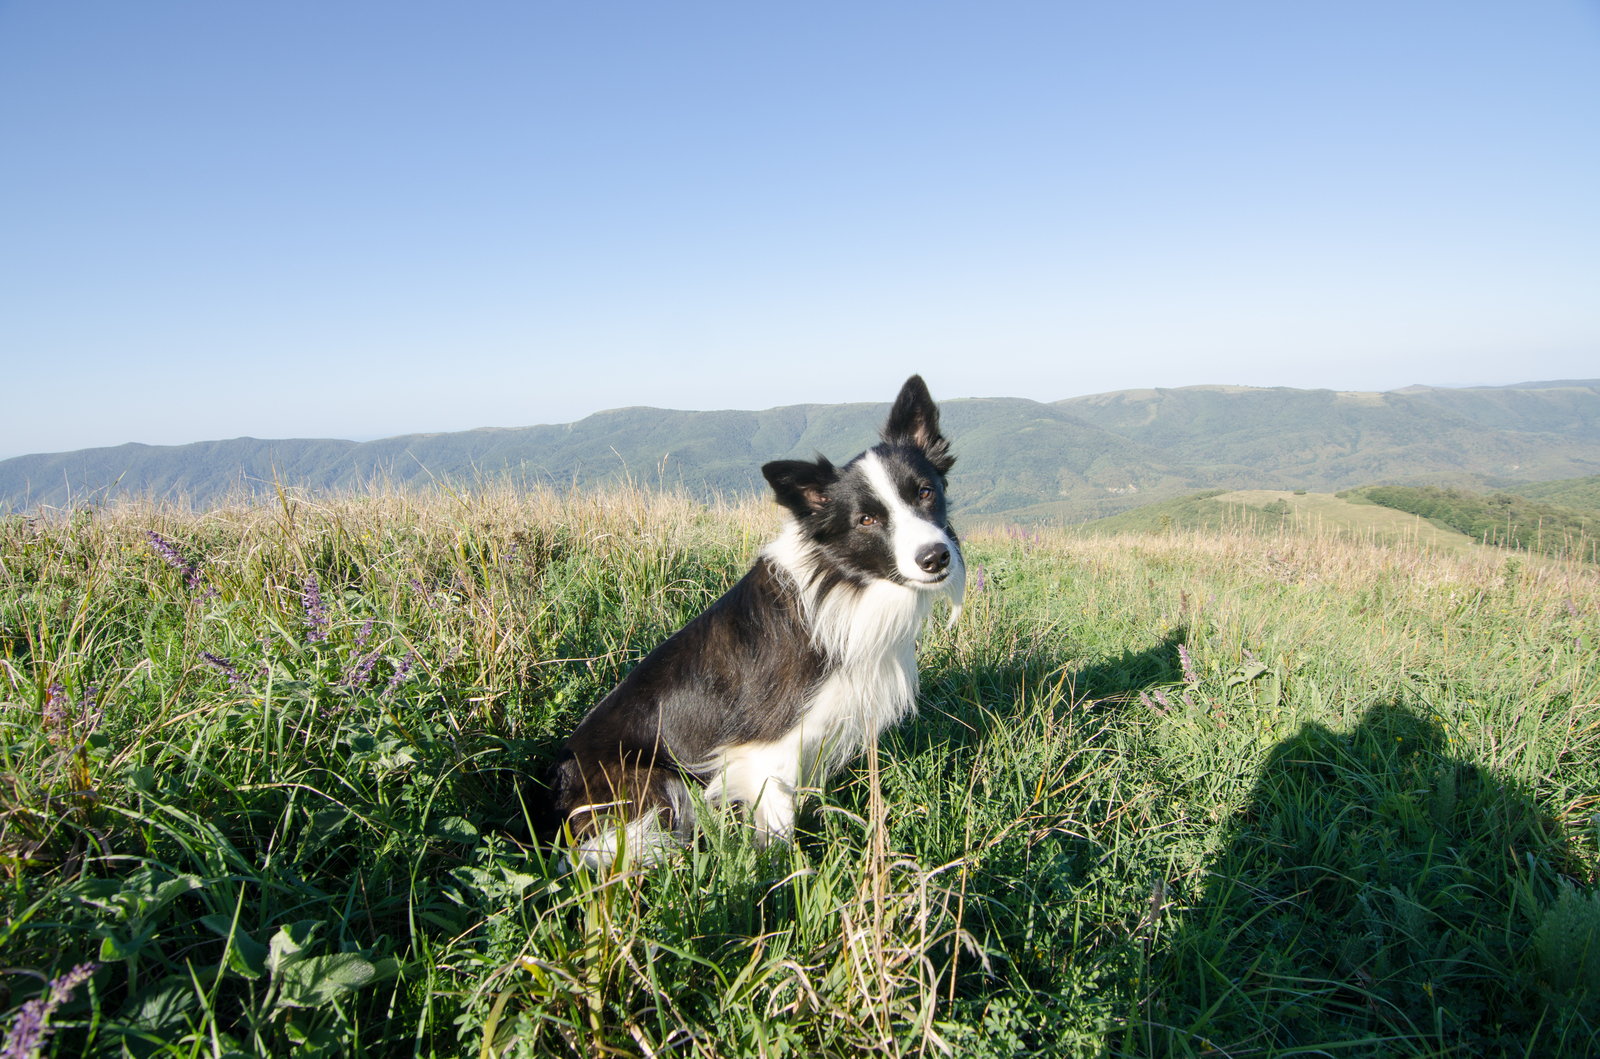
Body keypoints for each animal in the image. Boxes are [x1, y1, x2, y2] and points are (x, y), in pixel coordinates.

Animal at [550, 377, 966, 870]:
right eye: (866, 519)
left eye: (925, 492)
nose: (935, 557)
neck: (841, 581)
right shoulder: (769, 749)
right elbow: (781, 829)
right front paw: (787, 879)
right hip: (657, 783)